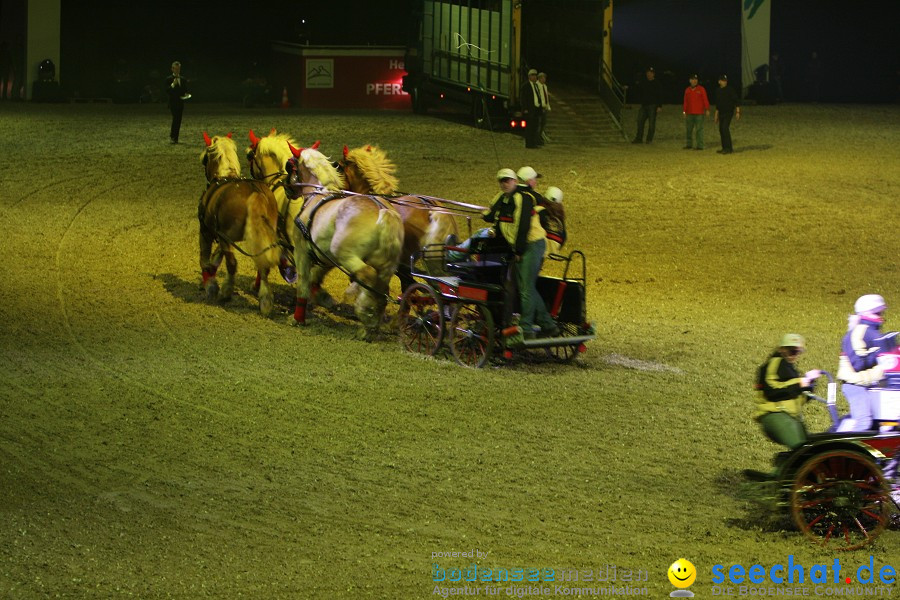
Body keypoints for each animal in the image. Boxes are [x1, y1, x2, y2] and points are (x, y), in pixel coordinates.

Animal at [198, 133, 280, 316]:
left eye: (205, 159)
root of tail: (255, 193)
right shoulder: (223, 237)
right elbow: (216, 257)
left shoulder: (207, 231)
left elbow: (205, 259)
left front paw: (210, 286)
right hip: (261, 236)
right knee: (263, 266)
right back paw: (266, 301)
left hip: (227, 237)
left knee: (232, 264)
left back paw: (226, 292)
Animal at [284, 142, 404, 338]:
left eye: (289, 165)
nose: (286, 187)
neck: (316, 193)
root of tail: (383, 211)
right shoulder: (325, 256)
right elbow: (315, 278)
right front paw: (322, 298)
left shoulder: (302, 251)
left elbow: (303, 283)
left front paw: (297, 318)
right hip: (383, 264)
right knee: (381, 289)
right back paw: (370, 323)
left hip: (345, 255)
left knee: (367, 276)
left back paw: (365, 316)